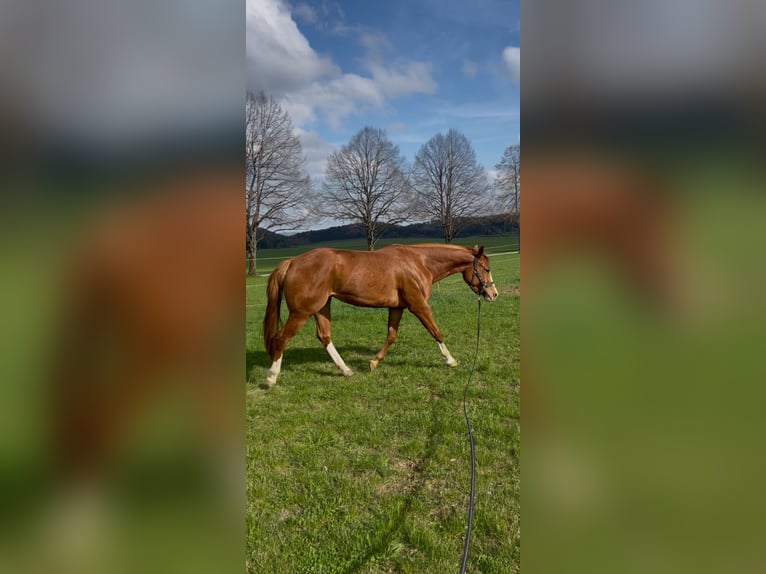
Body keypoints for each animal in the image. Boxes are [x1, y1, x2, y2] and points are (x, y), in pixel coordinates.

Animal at [262, 243, 499, 387]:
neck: (419, 263)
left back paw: (346, 370)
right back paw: (271, 377)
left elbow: (391, 335)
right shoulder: (419, 306)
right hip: (301, 312)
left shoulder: (397, 308)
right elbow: (435, 331)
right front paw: (450, 360)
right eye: (486, 269)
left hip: (321, 308)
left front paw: (373, 363)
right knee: (281, 338)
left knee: (324, 336)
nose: (493, 294)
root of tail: (292, 262)